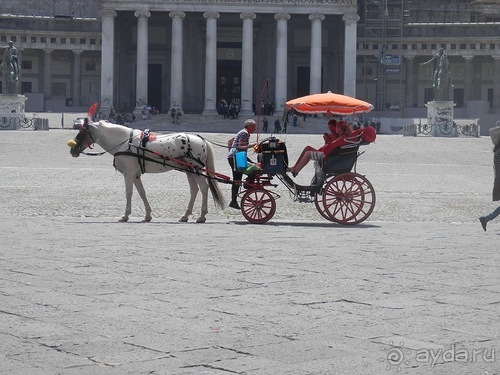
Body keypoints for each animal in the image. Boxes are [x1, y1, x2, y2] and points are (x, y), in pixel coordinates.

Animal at [69, 119, 226, 222]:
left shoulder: (129, 174)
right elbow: (142, 193)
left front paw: (125, 215)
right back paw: (185, 215)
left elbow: (129, 193)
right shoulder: (136, 175)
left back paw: (202, 216)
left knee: (204, 187)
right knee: (194, 190)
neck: (125, 143)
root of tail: (201, 139)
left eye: (81, 132)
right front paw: (148, 215)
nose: (72, 150)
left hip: (195, 169)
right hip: (189, 171)